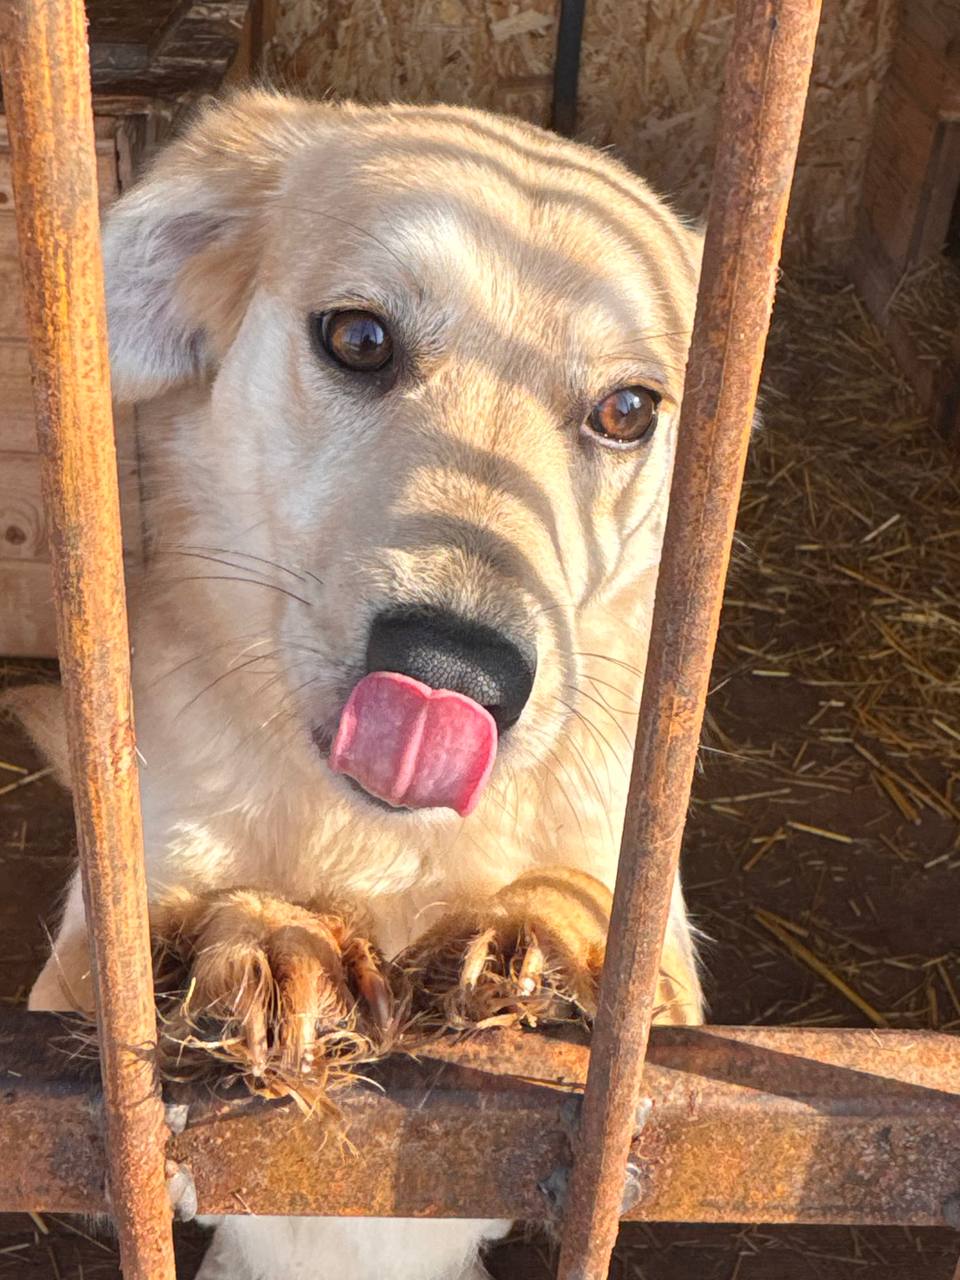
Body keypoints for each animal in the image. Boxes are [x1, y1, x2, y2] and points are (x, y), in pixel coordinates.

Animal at [9, 91, 704, 1279]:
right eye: (360, 337)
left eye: (627, 410)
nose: (452, 674)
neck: (379, 835)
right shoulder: (68, 990)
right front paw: (272, 933)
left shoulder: (686, 998)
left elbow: (612, 937)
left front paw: (542, 926)